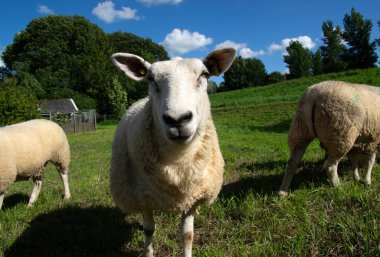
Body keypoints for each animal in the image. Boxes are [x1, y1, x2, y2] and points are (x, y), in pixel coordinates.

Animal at [108, 48, 236, 256]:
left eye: (204, 74)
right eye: (150, 79)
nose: (177, 119)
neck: (178, 159)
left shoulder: (192, 197)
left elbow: (187, 235)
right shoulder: (142, 197)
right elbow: (149, 230)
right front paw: (148, 252)